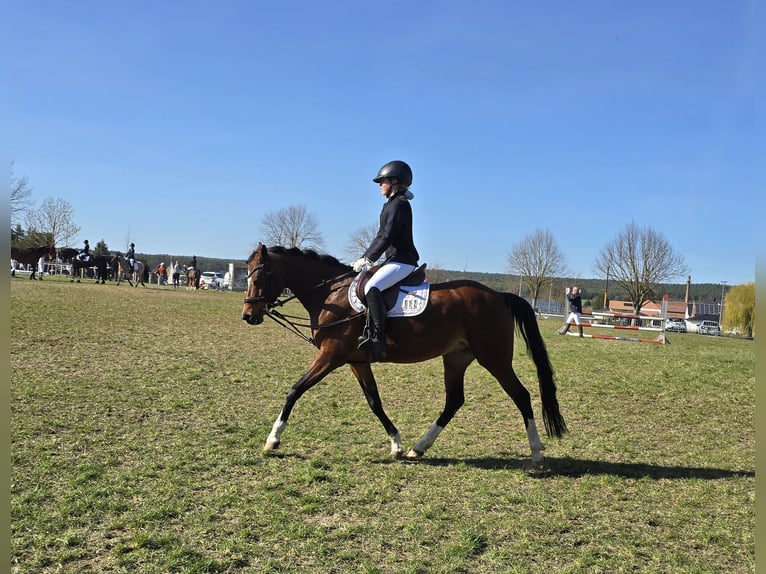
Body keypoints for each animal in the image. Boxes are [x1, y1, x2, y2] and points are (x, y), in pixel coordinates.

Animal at [241, 244, 567, 466]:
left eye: (257, 278)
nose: (248, 316)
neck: (330, 294)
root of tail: (499, 296)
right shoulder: (356, 362)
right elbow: (374, 401)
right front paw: (397, 444)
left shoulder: (330, 356)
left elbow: (295, 390)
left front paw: (273, 440)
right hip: (457, 358)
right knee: (454, 401)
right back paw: (418, 448)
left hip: (494, 357)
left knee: (520, 394)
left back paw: (537, 452)